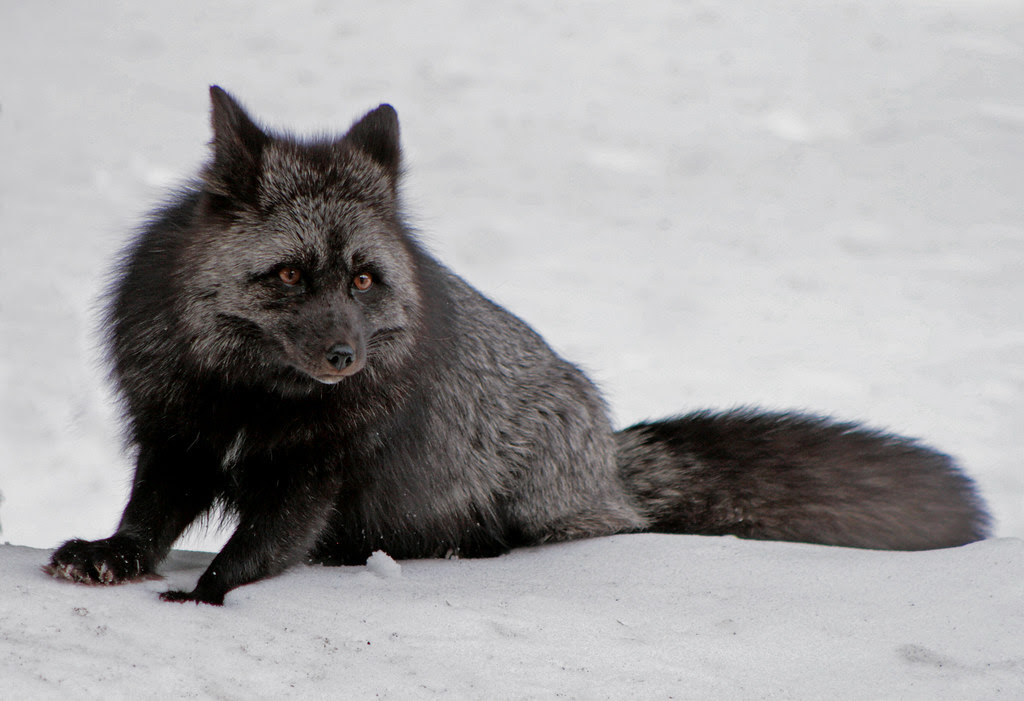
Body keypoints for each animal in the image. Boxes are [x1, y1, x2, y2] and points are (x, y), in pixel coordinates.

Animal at [46, 87, 990, 605]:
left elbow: (264, 544)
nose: (346, 358)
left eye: (363, 280)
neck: (250, 393)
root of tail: (611, 456)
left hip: (528, 500)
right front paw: (112, 555)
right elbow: (148, 517)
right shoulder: (177, 435)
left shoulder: (319, 469)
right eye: (286, 274)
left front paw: (210, 590)